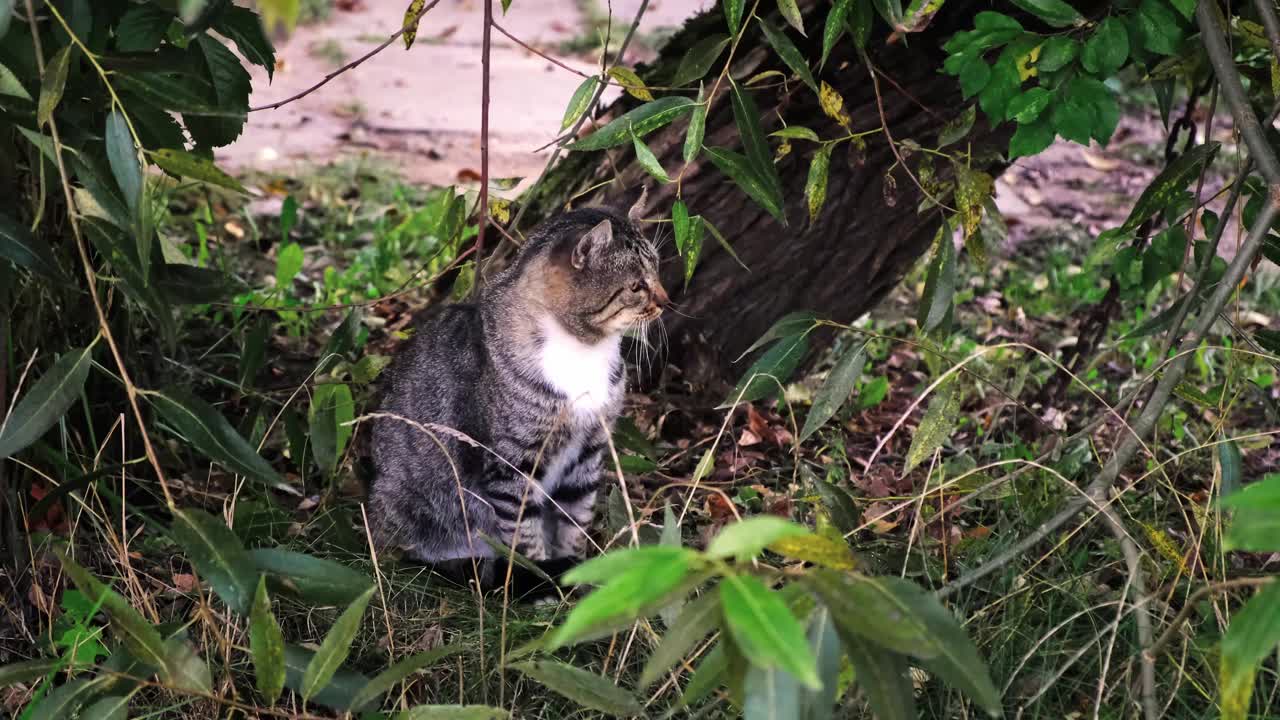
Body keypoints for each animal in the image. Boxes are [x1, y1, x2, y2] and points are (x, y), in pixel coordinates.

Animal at [371, 192, 670, 589]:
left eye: (658, 269)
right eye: (636, 285)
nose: (666, 300)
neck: (585, 351)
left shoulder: (589, 451)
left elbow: (575, 521)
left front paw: (576, 574)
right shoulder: (513, 465)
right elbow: (525, 538)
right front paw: (543, 584)